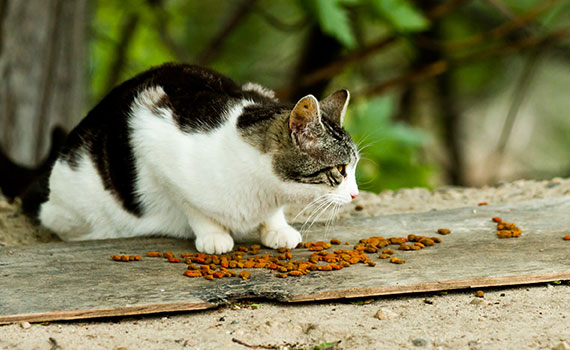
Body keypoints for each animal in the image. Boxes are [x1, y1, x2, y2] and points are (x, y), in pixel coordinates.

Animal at [23, 63, 360, 253]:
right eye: (341, 169)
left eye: (354, 167)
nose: (356, 193)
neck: (260, 192)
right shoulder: (151, 134)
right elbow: (192, 206)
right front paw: (214, 235)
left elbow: (272, 214)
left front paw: (276, 229)